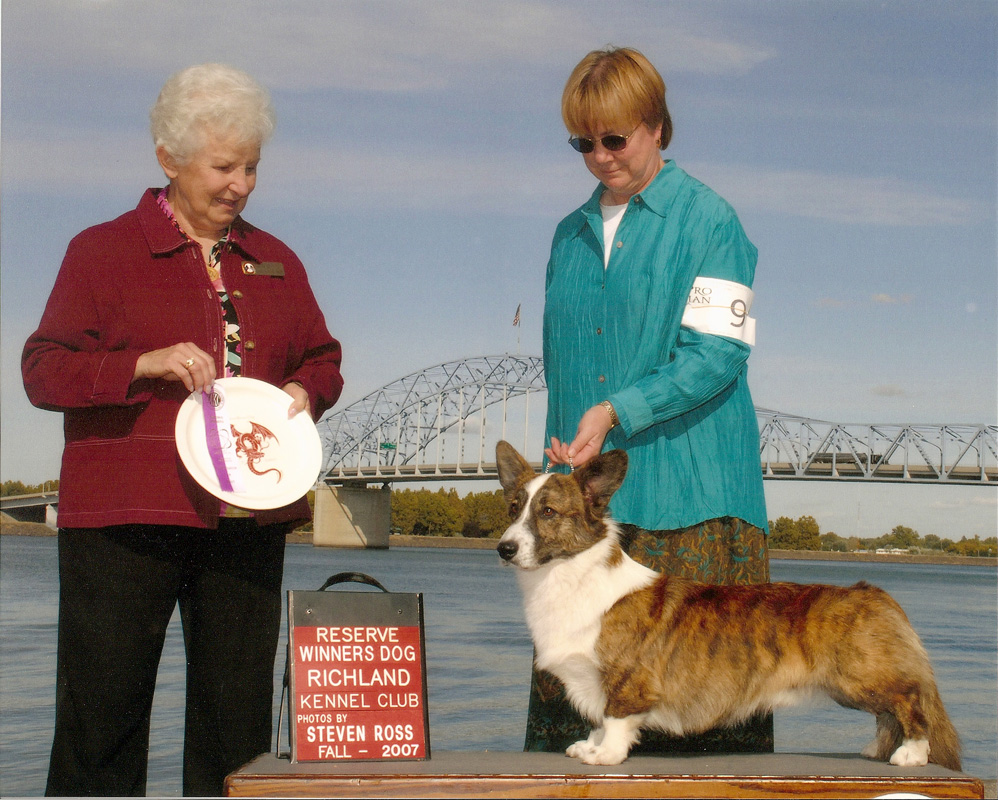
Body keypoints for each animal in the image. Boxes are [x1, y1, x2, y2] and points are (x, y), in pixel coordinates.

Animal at [494, 440, 961, 770]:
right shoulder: (592, 680)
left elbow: (614, 719)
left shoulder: (625, 682)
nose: (504, 548)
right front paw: (587, 746)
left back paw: (911, 754)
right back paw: (875, 751)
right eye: (513, 508)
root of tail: (874, 593)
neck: (567, 575)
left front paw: (605, 755)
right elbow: (597, 719)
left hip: (862, 678)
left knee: (909, 704)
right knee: (887, 715)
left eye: (549, 512)